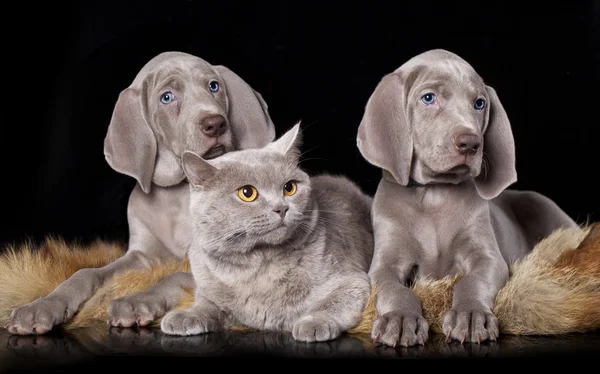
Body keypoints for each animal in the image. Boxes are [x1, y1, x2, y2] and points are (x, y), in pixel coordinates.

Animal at [6, 51, 276, 334]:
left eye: (214, 86)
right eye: (166, 97)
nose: (215, 124)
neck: (177, 196)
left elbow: (175, 275)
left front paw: (136, 301)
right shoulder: (142, 255)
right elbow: (87, 272)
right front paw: (42, 305)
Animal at [159, 124, 376, 344]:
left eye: (289, 187)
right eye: (247, 193)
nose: (281, 208)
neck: (258, 265)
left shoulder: (351, 281)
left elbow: (331, 303)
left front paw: (313, 323)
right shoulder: (207, 287)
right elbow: (205, 304)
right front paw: (185, 316)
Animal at [356, 49, 576, 348]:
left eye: (479, 103)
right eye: (428, 98)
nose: (470, 143)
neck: (434, 193)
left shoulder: (489, 258)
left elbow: (472, 281)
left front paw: (470, 316)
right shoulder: (384, 264)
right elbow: (393, 289)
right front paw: (400, 319)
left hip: (547, 208)